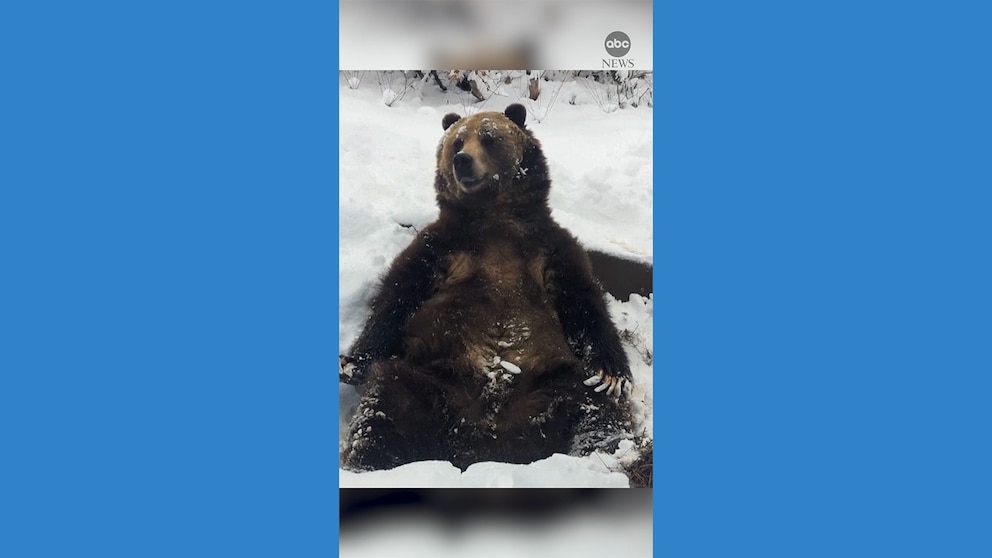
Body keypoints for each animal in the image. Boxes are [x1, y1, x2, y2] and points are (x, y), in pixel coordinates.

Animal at [340, 104, 636, 472]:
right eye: (457, 141)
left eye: (489, 137)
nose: (462, 160)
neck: (495, 219)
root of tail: (484, 441)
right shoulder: (446, 247)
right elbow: (399, 292)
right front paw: (351, 363)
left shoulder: (547, 248)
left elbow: (583, 302)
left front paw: (612, 376)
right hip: (430, 375)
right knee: (386, 402)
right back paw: (367, 461)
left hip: (550, 380)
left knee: (592, 404)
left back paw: (609, 452)